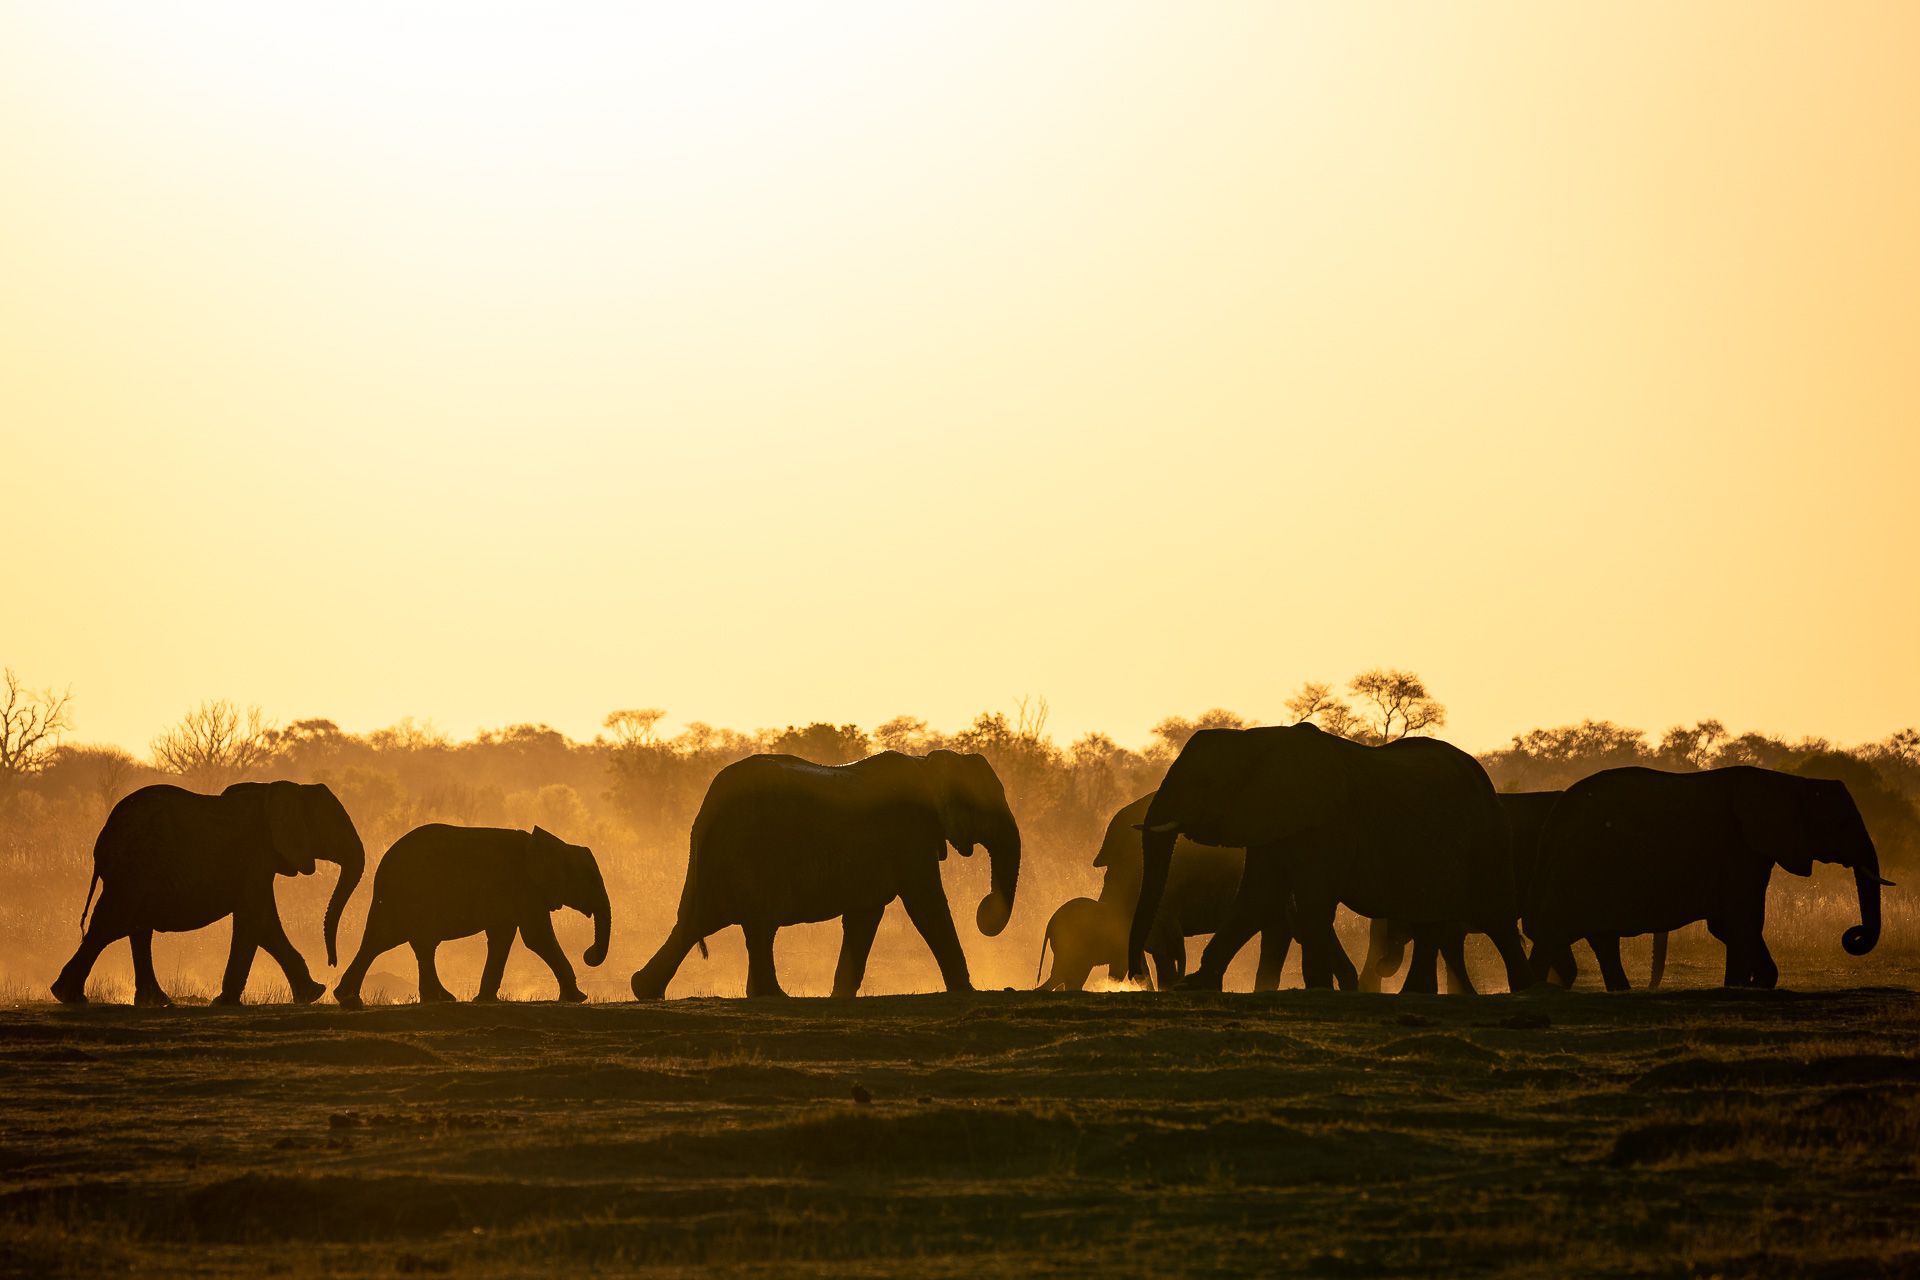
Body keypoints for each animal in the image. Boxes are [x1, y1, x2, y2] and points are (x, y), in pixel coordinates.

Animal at [51, 781, 365, 1006]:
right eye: (335, 827)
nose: (332, 963)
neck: (290, 789)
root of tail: (103, 837)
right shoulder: (256, 854)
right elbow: (253, 919)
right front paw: (224, 1003)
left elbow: (263, 923)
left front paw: (311, 994)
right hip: (134, 868)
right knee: (112, 923)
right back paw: (69, 996)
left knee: (133, 927)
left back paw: (152, 1001)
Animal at [334, 824, 610, 1007]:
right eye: (590, 880)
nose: (588, 954)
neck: (557, 845)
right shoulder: (525, 888)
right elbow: (537, 938)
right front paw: (578, 999)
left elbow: (502, 938)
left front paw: (484, 999)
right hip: (413, 896)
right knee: (412, 943)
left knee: (383, 942)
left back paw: (349, 998)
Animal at [630, 749, 1020, 999]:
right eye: (986, 806)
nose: (984, 909)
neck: (927, 763)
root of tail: (708, 805)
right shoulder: (909, 837)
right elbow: (926, 905)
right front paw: (967, 990)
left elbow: (865, 916)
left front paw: (840, 994)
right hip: (753, 851)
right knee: (756, 925)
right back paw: (774, 996)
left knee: (695, 923)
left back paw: (645, 989)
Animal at [1130, 724, 1530, 993]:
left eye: (1203, 784)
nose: (1134, 977)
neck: (1257, 741)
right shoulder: (1270, 822)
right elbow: (1257, 899)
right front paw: (1195, 985)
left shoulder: (1324, 825)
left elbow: (1309, 902)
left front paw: (1318, 987)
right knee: (1430, 920)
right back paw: (1416, 993)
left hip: (1489, 837)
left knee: (1496, 918)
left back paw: (1524, 991)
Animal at [1524, 765, 1888, 990]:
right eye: (1842, 823)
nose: (1852, 935)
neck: (1791, 782)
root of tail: (1551, 822)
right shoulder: (1739, 849)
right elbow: (1743, 919)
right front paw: (1756, 983)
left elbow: (1729, 924)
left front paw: (1742, 985)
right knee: (1558, 933)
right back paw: (1535, 990)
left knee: (1598, 939)